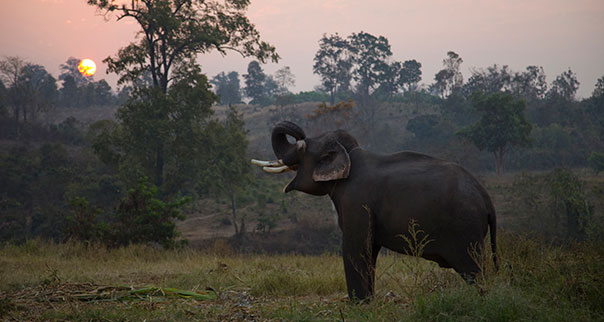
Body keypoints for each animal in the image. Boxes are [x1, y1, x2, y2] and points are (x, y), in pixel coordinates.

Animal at [250, 121, 496, 302]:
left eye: (301, 148)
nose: (299, 135)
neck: (349, 153)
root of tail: (486, 199)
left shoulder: (356, 201)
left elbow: (354, 246)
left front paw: (359, 305)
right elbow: (369, 249)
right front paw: (368, 302)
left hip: (464, 230)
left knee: (475, 270)